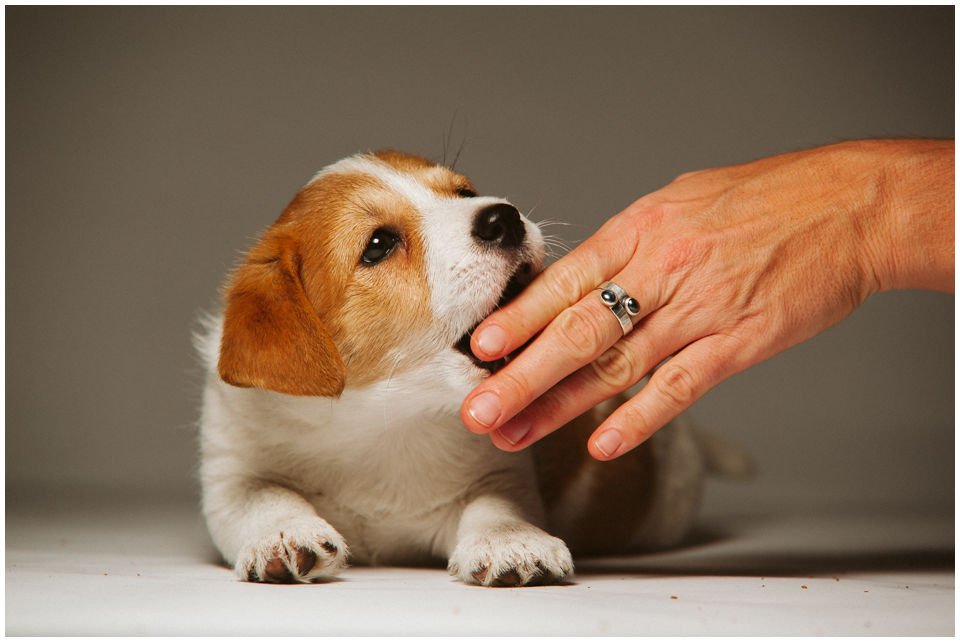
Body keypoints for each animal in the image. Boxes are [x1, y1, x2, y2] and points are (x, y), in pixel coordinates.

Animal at [196, 150, 745, 586]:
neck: (386, 421)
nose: (504, 217)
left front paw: (511, 541)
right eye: (378, 244)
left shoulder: (499, 474)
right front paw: (283, 535)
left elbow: (495, 508)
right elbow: (264, 496)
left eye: (465, 192)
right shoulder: (232, 472)